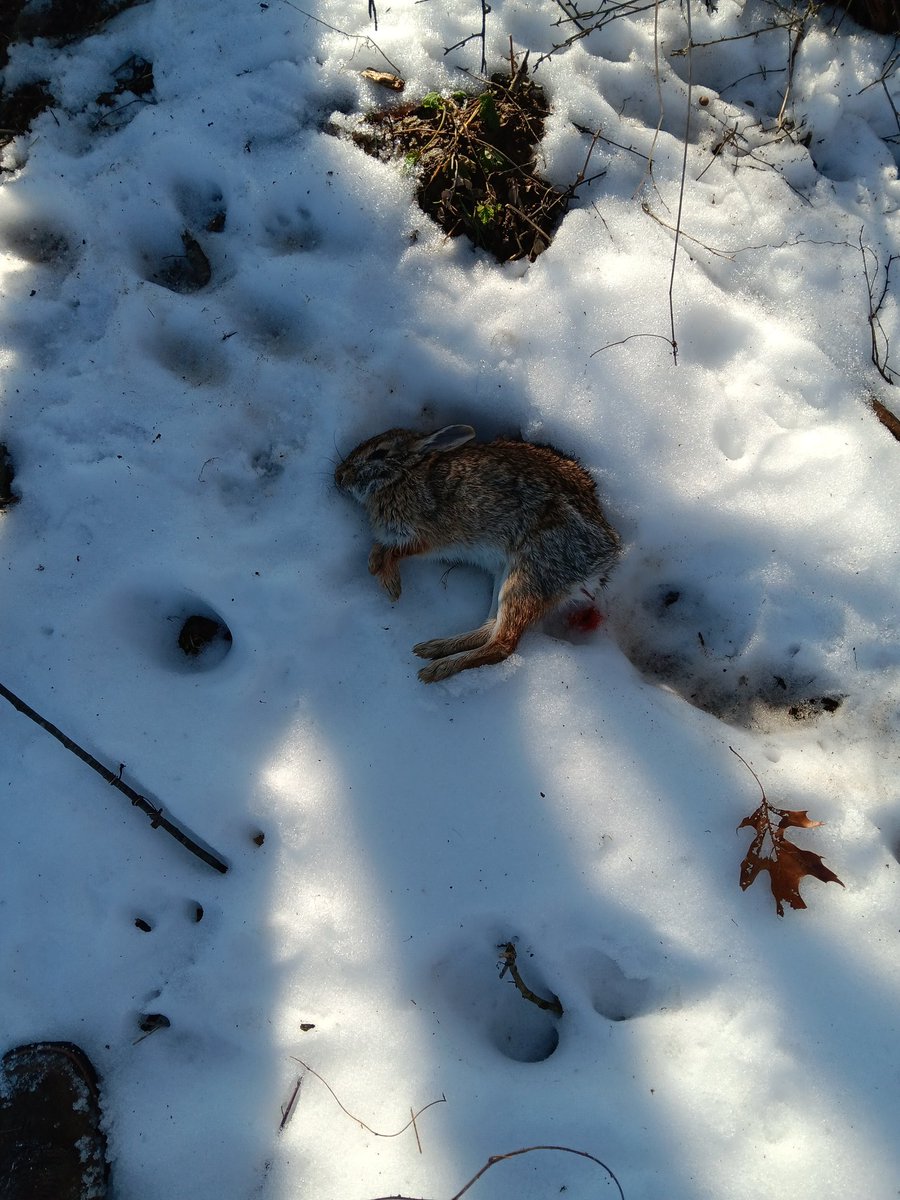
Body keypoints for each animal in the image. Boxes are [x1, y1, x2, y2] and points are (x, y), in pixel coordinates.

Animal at [334, 424, 621, 683]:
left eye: (378, 453)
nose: (339, 476)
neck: (403, 476)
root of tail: (602, 563)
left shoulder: (426, 535)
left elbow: (391, 551)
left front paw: (390, 585)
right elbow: (379, 548)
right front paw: (378, 570)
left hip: (530, 573)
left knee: (503, 644)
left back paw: (437, 669)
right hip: (505, 574)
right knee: (490, 628)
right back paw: (433, 647)